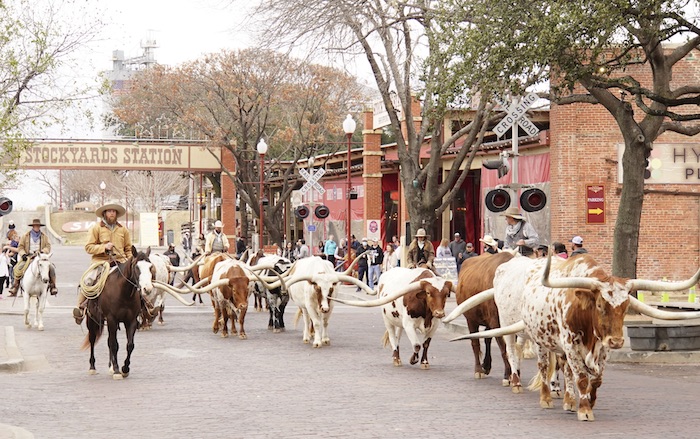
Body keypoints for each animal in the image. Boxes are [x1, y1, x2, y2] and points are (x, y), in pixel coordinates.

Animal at [81, 246, 155, 380]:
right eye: (137, 267)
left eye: (150, 267)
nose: (147, 288)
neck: (123, 292)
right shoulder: (112, 319)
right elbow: (114, 344)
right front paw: (116, 370)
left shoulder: (131, 321)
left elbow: (129, 345)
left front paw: (124, 369)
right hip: (92, 320)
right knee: (92, 340)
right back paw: (92, 367)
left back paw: (110, 366)